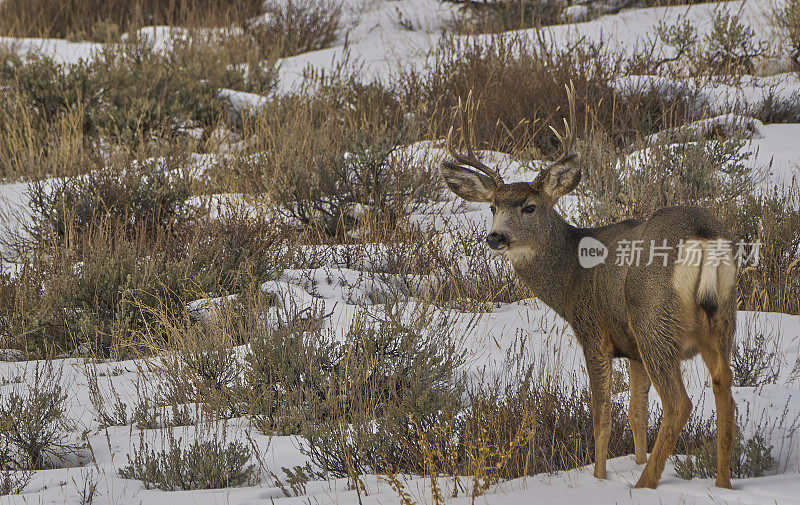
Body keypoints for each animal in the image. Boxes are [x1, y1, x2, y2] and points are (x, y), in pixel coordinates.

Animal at [438, 87, 736, 488]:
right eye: (492, 207)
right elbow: (637, 412)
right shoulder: (632, 349)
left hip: (654, 320)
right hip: (720, 319)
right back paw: (722, 484)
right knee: (725, 394)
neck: (571, 275)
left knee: (679, 404)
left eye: (530, 207)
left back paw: (644, 486)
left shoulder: (594, 330)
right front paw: (636, 460)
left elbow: (602, 415)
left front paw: (600, 477)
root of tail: (702, 237)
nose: (496, 237)